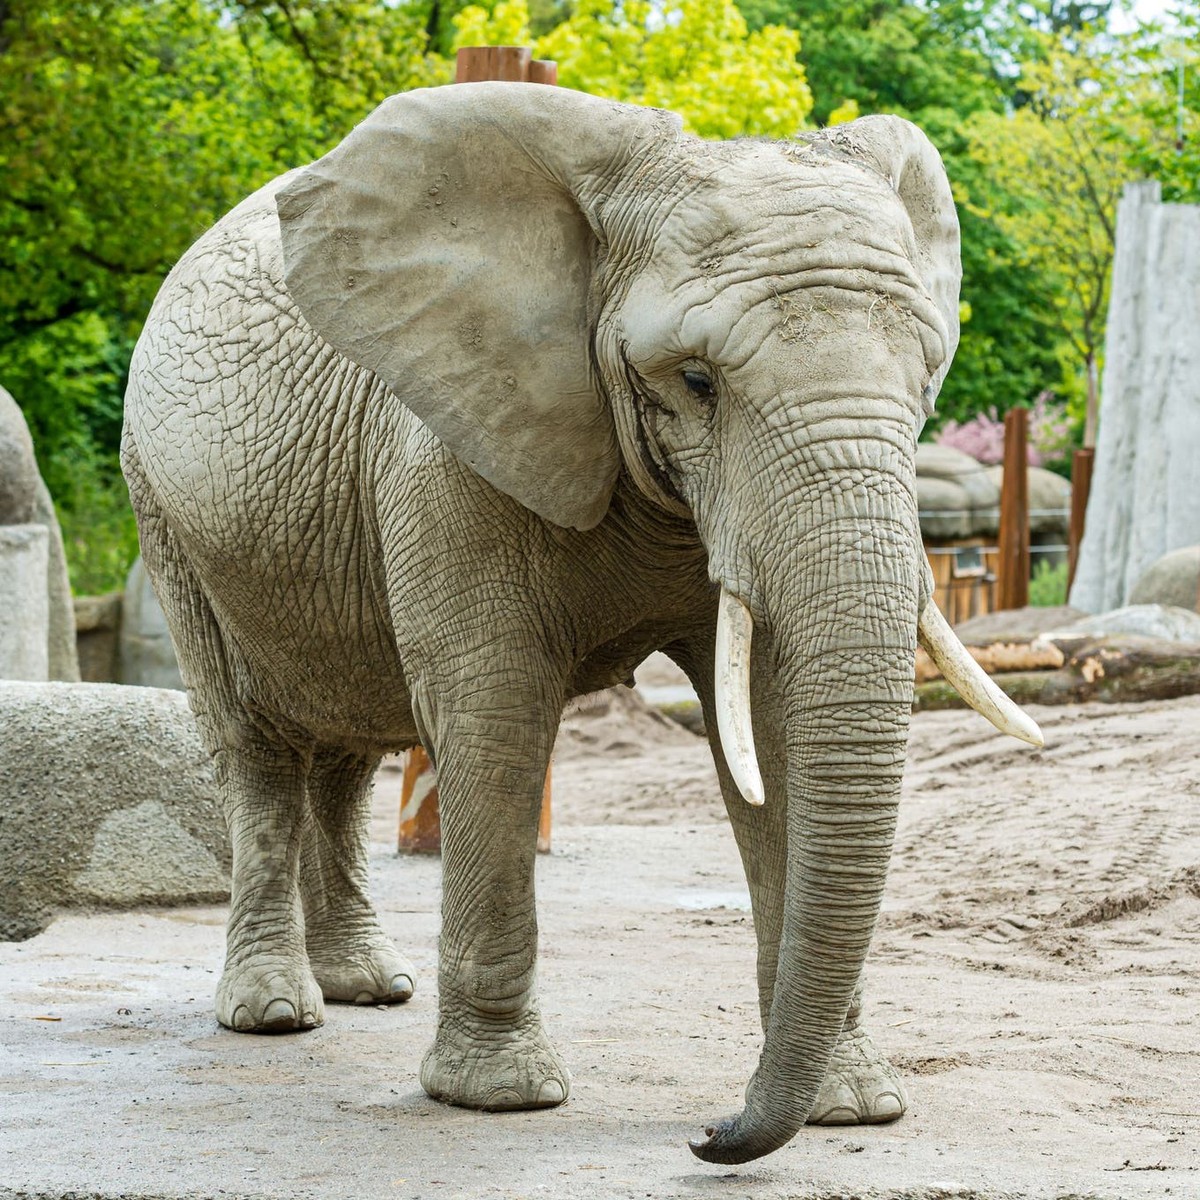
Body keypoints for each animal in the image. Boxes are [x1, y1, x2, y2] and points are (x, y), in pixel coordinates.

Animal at [121, 82, 1042, 1164]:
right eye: (696, 382)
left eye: (926, 374)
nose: (707, 1133)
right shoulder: (446, 447)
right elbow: (495, 713)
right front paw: (500, 1098)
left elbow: (772, 725)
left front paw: (850, 1109)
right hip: (168, 518)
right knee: (260, 743)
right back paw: (274, 1013)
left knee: (346, 748)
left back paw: (370, 990)